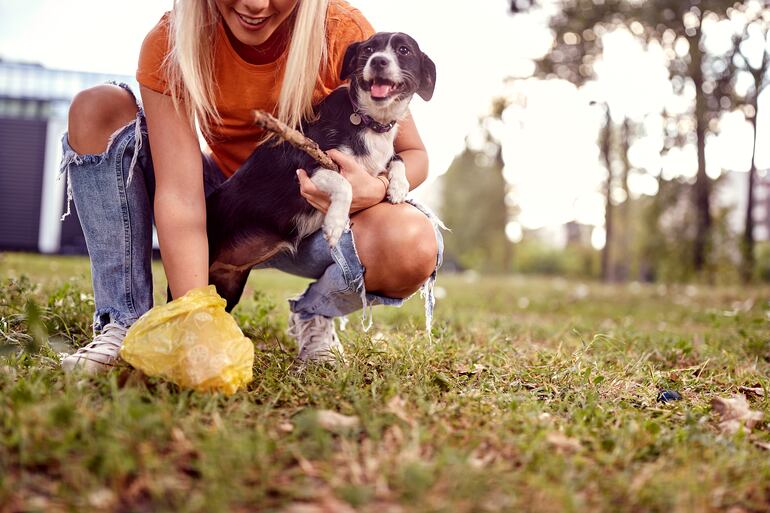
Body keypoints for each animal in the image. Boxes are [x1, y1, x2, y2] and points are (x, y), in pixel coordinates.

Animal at [204, 33, 436, 312]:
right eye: (368, 49)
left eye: (403, 50)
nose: (378, 61)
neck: (369, 121)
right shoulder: (307, 166)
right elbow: (344, 184)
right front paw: (335, 223)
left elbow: (397, 158)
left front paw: (398, 186)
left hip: (228, 284)